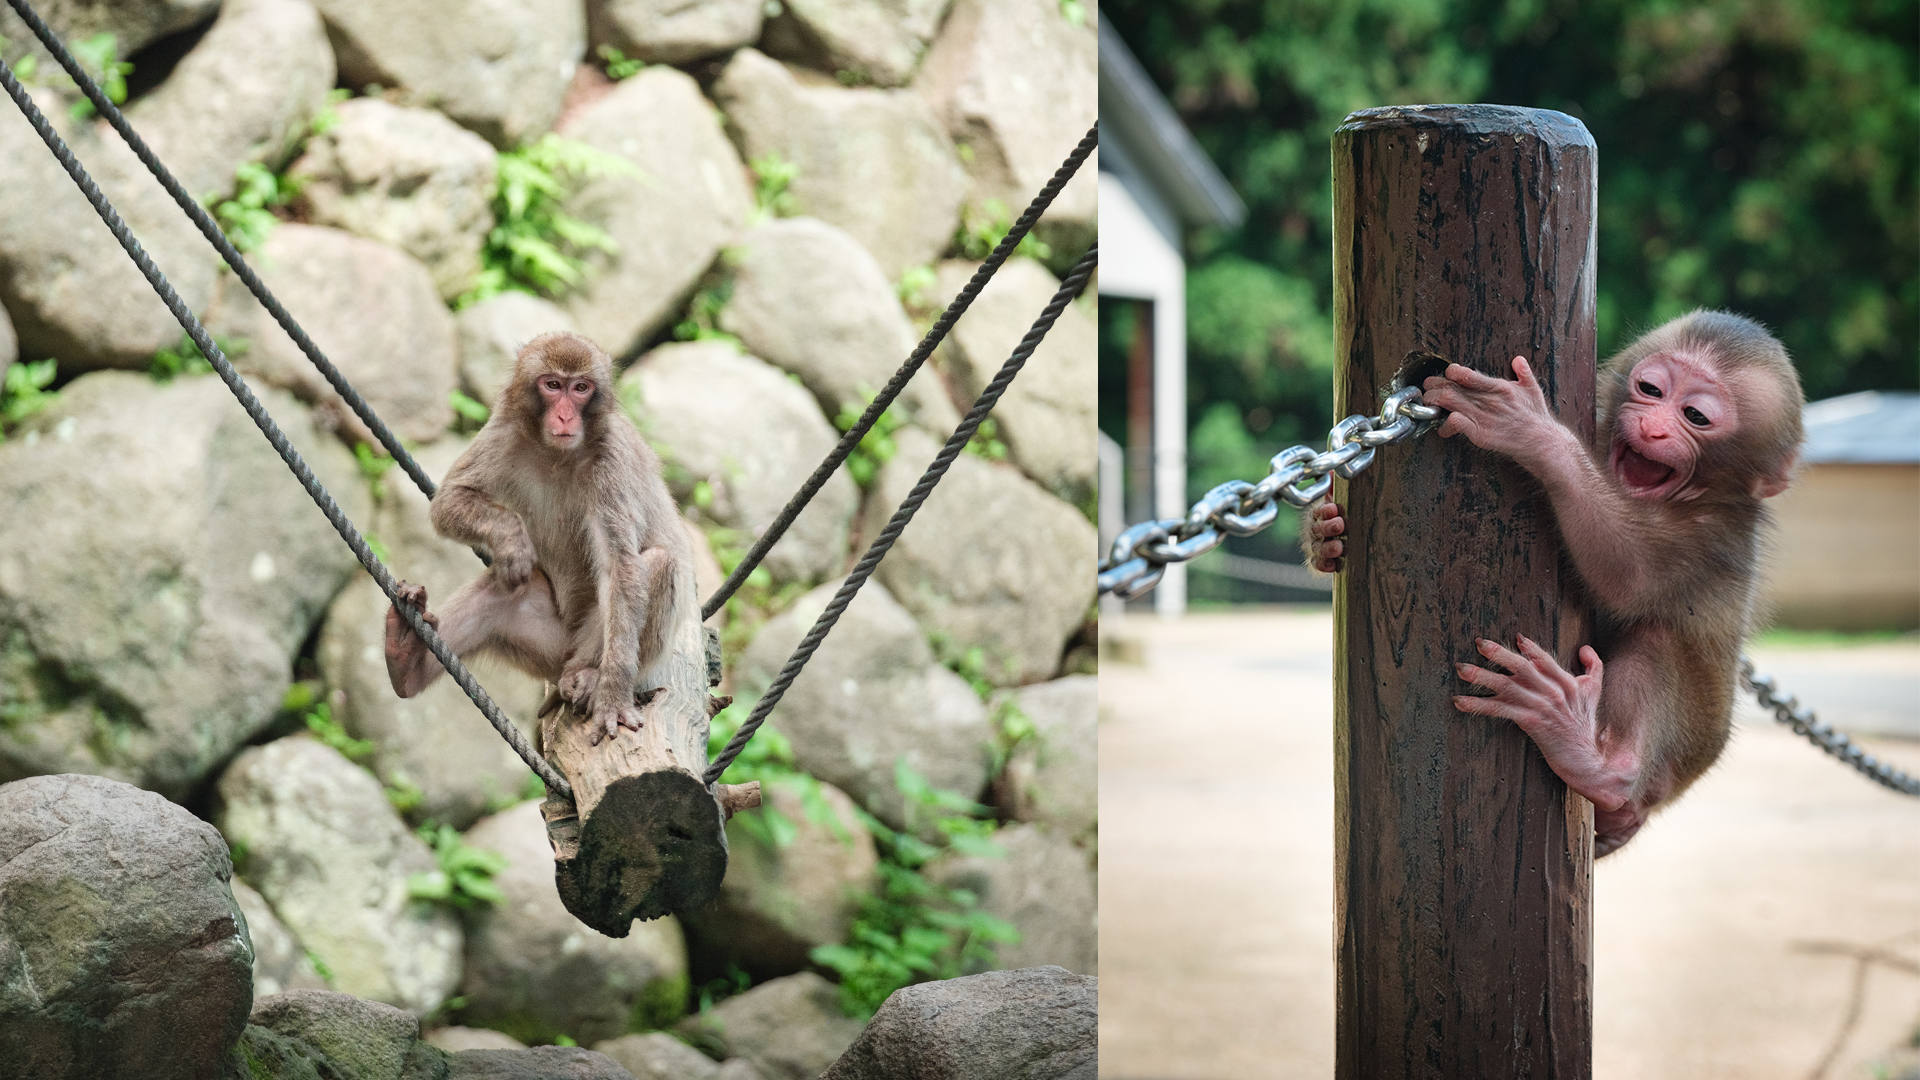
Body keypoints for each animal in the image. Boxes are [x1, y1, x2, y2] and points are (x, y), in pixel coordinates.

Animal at [385, 332, 695, 745]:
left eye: (580, 388)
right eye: (552, 385)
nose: (564, 416)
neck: (557, 454)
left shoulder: (611, 462)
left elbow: (621, 569)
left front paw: (613, 695)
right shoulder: (505, 430)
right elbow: (451, 500)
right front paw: (511, 541)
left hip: (592, 649)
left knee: (659, 564)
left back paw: (591, 678)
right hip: (547, 648)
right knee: (506, 588)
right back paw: (405, 660)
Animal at [1305, 309, 1797, 849]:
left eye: (1696, 417)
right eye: (1651, 389)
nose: (1652, 428)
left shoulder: (1714, 537)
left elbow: (1631, 576)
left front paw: (1533, 434)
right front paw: (1323, 535)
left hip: (1686, 745)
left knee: (1658, 636)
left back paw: (1591, 759)